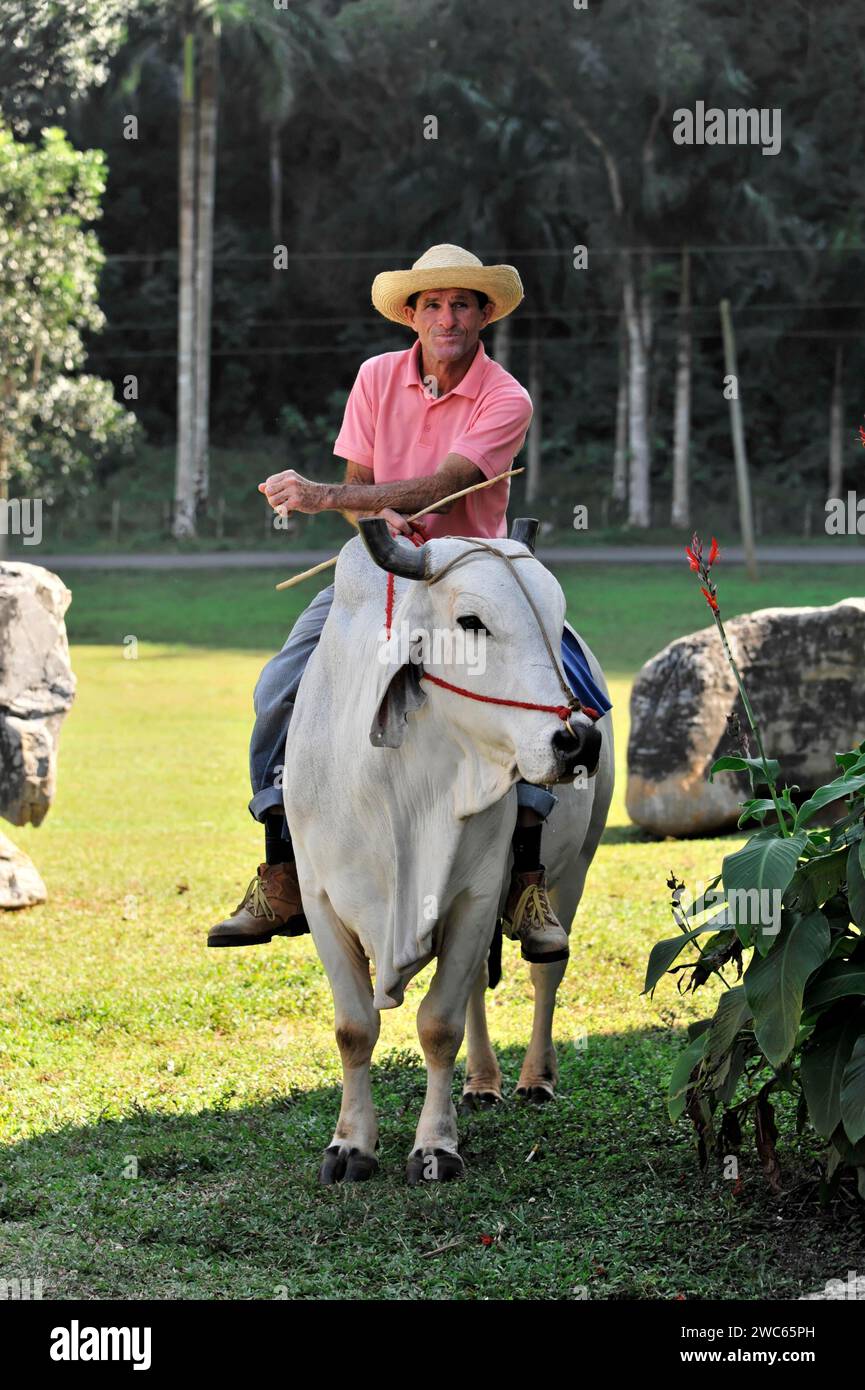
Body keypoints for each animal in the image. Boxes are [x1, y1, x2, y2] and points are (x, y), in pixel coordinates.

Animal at [280, 522, 614, 1184]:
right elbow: (354, 1028)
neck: (402, 794)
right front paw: (349, 1147)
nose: (579, 740)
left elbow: (438, 1026)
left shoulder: (477, 897)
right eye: (471, 622)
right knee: (478, 991)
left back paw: (535, 1077)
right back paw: (482, 1083)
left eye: (556, 615)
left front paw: (435, 1148)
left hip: (575, 870)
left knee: (545, 972)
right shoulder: (321, 901)